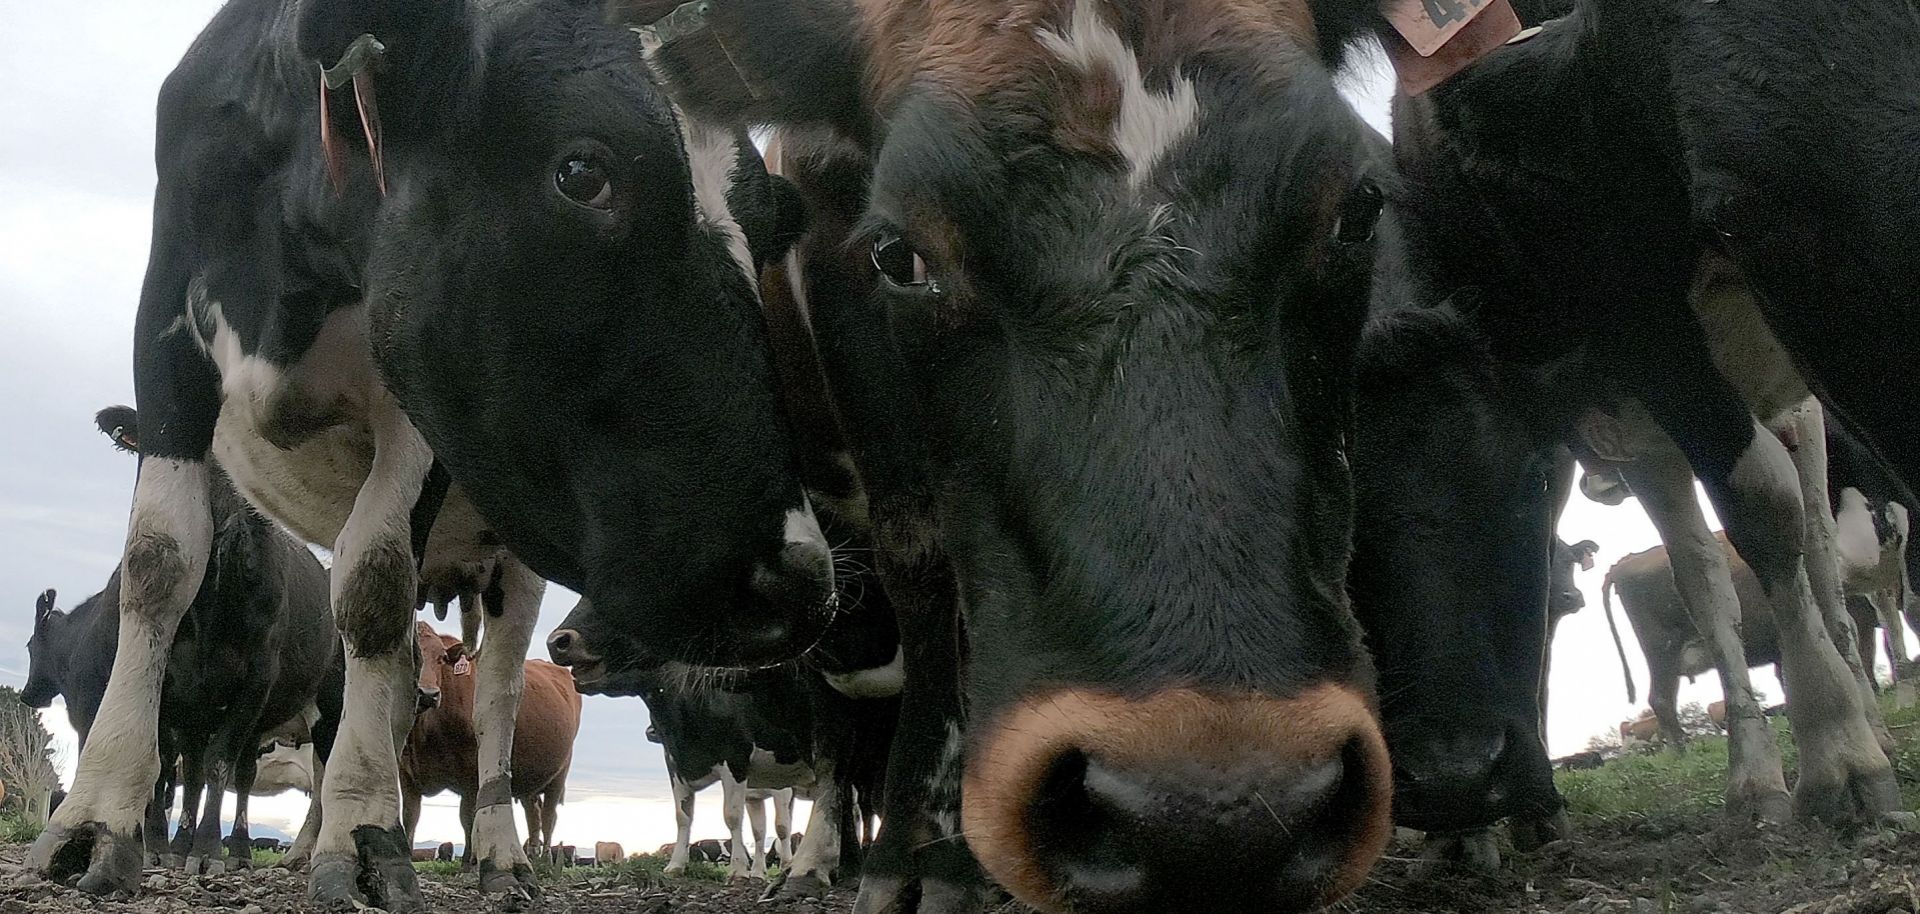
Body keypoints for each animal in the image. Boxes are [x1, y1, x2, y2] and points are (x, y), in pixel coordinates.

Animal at [21, 410, 345, 875]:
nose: (229, 525)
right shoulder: (162, 688)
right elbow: (164, 772)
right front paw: (159, 846)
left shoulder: (256, 679)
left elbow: (219, 765)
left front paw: (207, 850)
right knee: (195, 774)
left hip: (319, 713)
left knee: (253, 776)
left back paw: (243, 850)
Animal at [401, 622, 579, 879]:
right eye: (413, 655)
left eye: (441, 658)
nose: (428, 694)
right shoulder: (406, 773)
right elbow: (410, 817)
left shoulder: (471, 772)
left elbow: (468, 817)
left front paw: (468, 863)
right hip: (530, 780)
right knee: (533, 814)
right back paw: (533, 857)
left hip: (559, 773)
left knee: (548, 817)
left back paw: (546, 860)